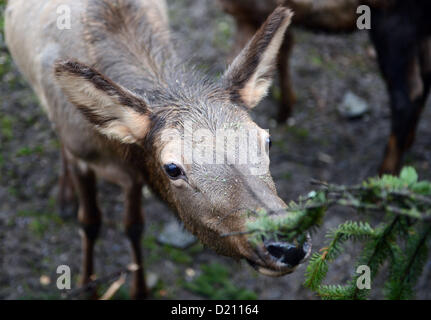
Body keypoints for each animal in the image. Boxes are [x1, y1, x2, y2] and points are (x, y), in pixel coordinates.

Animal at [5, 0, 312, 300]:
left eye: (266, 140)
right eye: (172, 168)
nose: (287, 244)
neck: (111, 148)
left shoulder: (136, 171)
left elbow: (134, 227)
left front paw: (140, 290)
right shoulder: (82, 155)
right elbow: (90, 223)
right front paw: (88, 286)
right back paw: (65, 196)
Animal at [219, 0, 431, 175]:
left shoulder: (247, 12)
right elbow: (283, 48)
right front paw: (285, 111)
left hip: (393, 20)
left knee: (407, 95)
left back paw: (383, 176)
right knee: (423, 81)